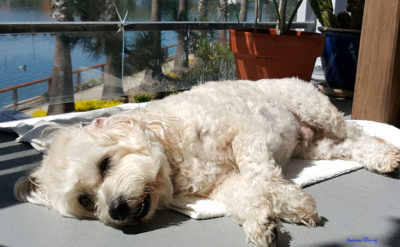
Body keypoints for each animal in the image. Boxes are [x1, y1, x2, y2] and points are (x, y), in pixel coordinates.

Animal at [13, 78, 400, 247]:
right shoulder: (221, 183)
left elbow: (262, 175)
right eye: (86, 200)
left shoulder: (245, 133)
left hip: (315, 109)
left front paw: (291, 202)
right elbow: (244, 197)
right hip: (314, 147)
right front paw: (263, 223)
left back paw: (386, 154)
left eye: (105, 164)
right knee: (349, 145)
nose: (117, 209)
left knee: (358, 132)